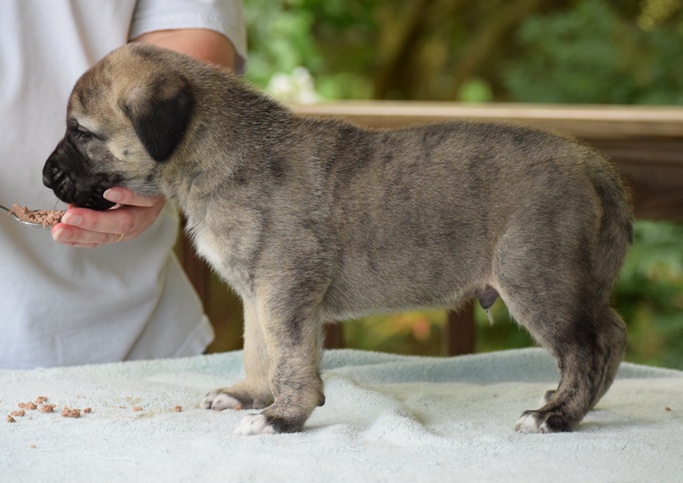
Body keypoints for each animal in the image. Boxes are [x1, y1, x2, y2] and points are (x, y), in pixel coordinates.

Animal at [43, 43, 633, 435]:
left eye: (82, 133)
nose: (47, 177)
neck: (217, 154)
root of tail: (591, 162)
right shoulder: (260, 293)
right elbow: (260, 349)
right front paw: (251, 396)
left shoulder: (286, 285)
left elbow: (288, 356)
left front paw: (283, 416)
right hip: (564, 280)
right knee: (610, 331)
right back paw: (570, 402)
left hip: (534, 275)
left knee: (590, 344)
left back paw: (555, 414)